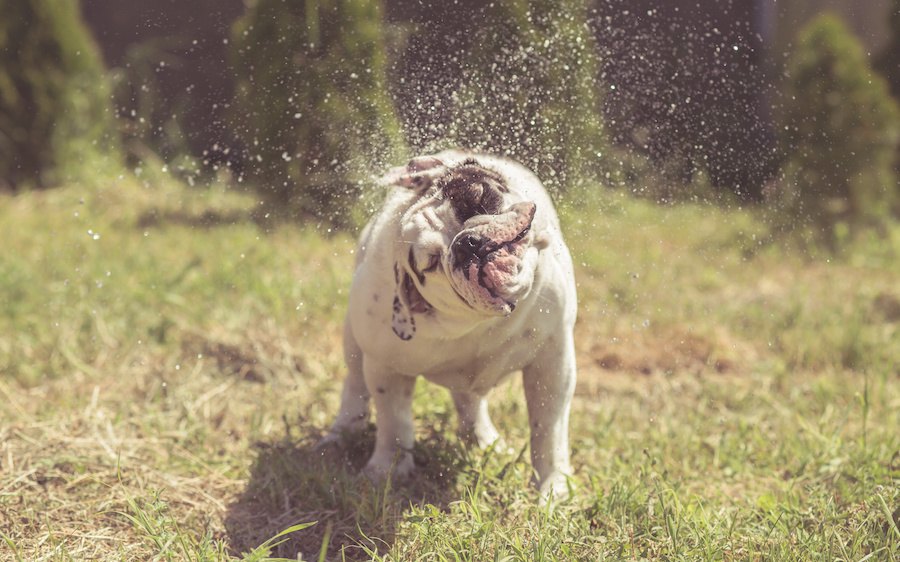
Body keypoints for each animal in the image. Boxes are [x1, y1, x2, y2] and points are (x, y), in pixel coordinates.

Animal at [322, 148, 576, 498]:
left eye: (478, 198)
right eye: (429, 263)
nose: (467, 243)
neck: (477, 321)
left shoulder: (552, 362)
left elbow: (548, 429)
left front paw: (552, 487)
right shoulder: (386, 367)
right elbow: (394, 422)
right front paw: (387, 470)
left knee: (470, 401)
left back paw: (484, 441)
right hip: (354, 342)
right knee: (355, 385)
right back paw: (341, 433)